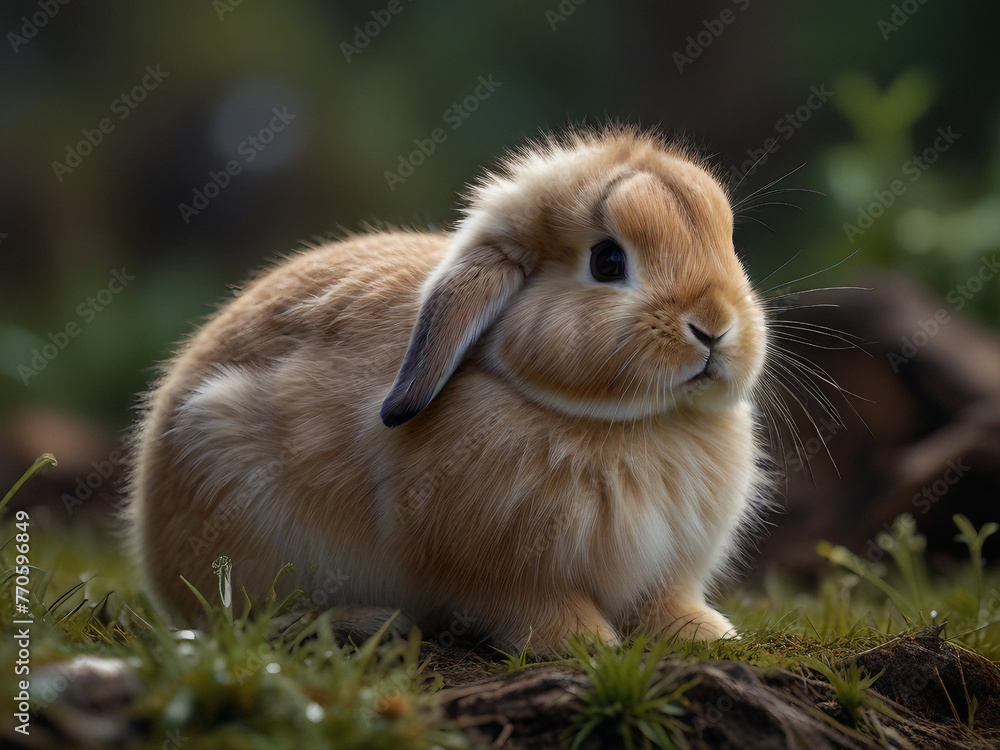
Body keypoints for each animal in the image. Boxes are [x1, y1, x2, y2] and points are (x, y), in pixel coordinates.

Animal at [125, 126, 769, 654]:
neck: (625, 421)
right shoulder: (502, 574)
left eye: (728, 243)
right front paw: (581, 640)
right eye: (608, 261)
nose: (714, 326)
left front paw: (708, 633)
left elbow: (665, 602)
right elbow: (531, 607)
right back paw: (369, 623)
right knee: (241, 620)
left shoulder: (668, 571)